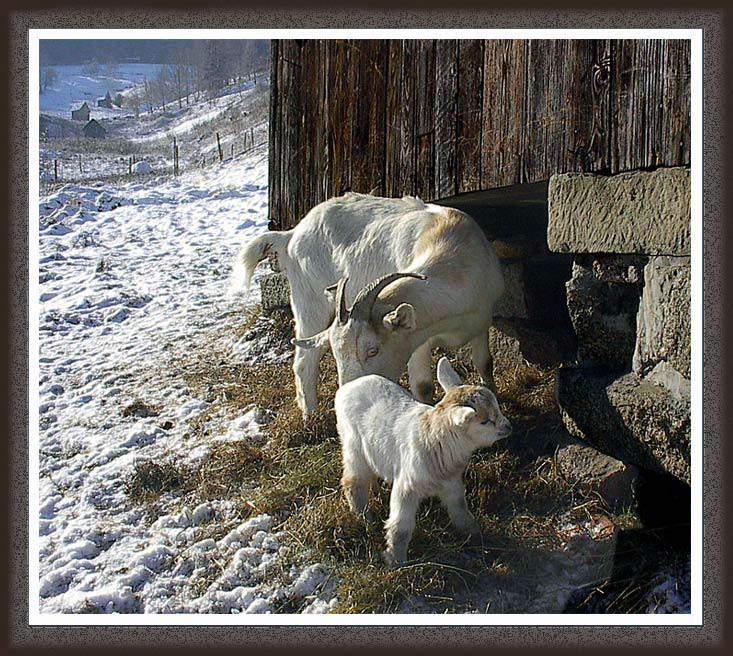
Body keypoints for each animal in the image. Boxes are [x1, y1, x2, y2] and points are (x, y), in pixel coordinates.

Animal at [234, 192, 504, 418]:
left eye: (373, 350)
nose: (347, 397)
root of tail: (291, 233)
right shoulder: (418, 342)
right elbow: (423, 387)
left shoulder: (481, 323)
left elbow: (485, 363)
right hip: (308, 302)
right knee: (304, 361)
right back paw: (309, 416)